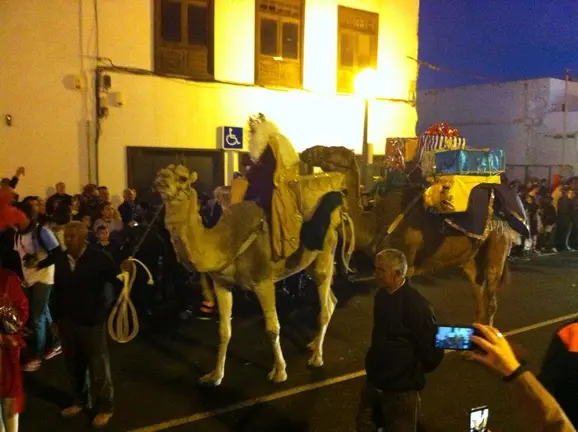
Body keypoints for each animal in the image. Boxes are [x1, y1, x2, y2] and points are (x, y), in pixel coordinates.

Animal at [300, 145, 510, 324]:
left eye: (333, 151)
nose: (308, 151)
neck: (376, 223)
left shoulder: (405, 263)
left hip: (497, 245)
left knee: (491, 296)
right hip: (471, 258)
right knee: (477, 290)